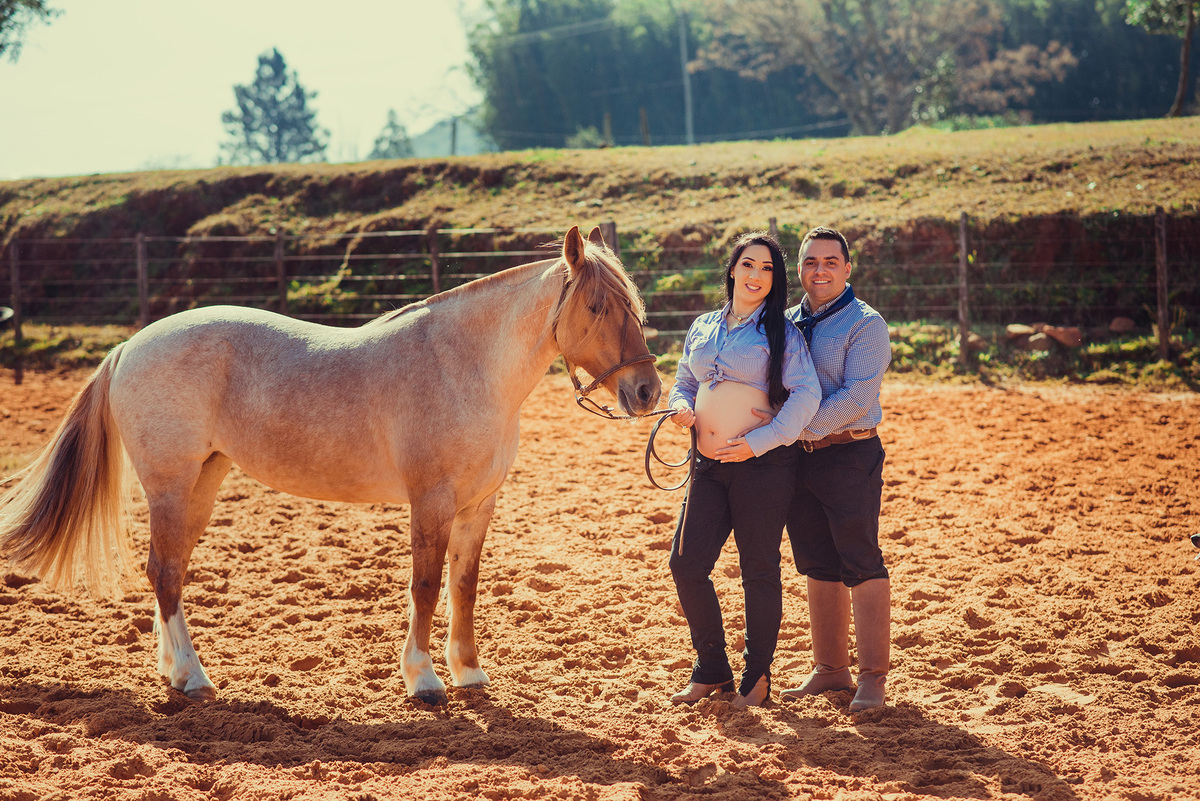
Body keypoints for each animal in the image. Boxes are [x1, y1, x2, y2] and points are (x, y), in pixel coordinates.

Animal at [0, 225, 662, 705]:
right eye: (596, 306)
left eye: (635, 305)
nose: (647, 391)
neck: (464, 366)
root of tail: (130, 345)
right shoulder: (432, 502)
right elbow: (425, 585)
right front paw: (424, 680)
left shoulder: (478, 504)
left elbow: (464, 585)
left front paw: (469, 673)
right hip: (170, 485)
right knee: (164, 573)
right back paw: (194, 678)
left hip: (202, 484)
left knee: (168, 570)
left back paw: (174, 672)